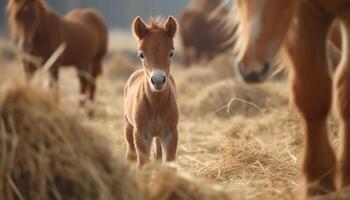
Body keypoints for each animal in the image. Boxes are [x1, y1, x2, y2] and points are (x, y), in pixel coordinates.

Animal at [123, 16, 178, 168]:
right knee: (130, 153)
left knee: (157, 154)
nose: (158, 80)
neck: (156, 104)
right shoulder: (141, 135)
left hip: (158, 136)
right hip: (128, 126)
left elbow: (169, 165)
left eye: (171, 53)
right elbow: (142, 165)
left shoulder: (170, 134)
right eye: (141, 54)